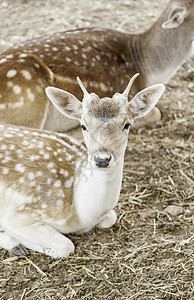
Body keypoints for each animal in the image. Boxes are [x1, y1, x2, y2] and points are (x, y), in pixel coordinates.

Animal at [0, 75, 164, 258]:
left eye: (127, 125)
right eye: (83, 126)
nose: (102, 159)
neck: (79, 213)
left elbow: (111, 218)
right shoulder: (19, 213)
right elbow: (65, 246)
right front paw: (12, 240)